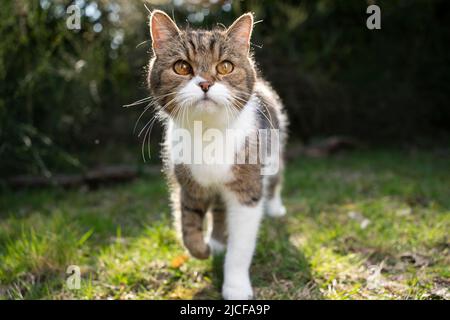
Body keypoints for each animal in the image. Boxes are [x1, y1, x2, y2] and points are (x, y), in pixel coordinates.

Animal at [147, 10, 288, 300]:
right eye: (182, 67)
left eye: (225, 67)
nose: (205, 83)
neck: (208, 133)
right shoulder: (189, 183)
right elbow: (188, 224)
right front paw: (203, 249)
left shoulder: (247, 188)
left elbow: (241, 246)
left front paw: (235, 287)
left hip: (273, 150)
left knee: (275, 179)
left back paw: (275, 208)